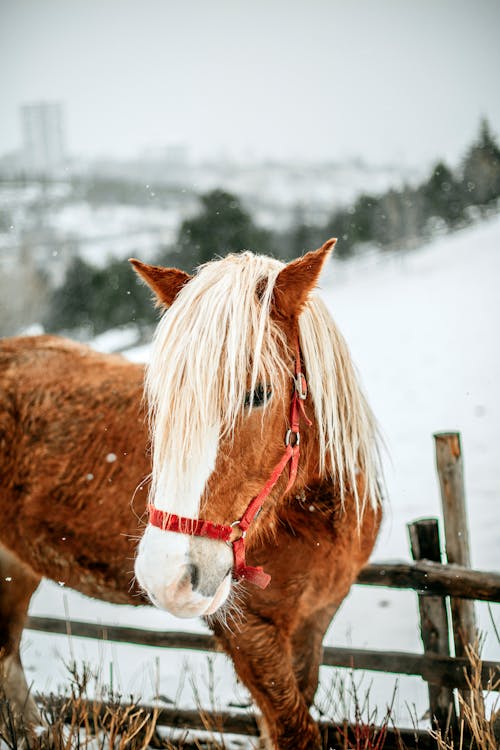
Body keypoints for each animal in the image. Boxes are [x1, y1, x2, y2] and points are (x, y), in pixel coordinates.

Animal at [0, 242, 380, 750]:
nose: (165, 576)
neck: (316, 517)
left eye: (259, 393)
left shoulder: (314, 621)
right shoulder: (249, 633)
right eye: (159, 400)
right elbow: (293, 730)